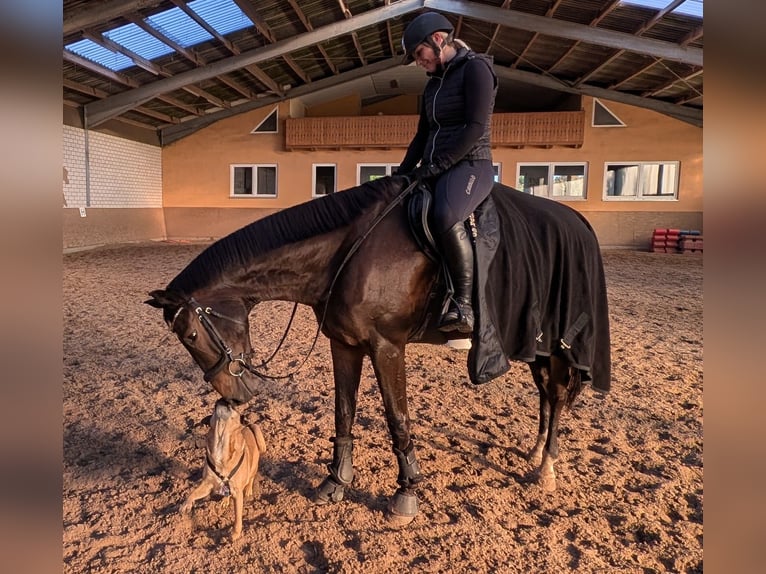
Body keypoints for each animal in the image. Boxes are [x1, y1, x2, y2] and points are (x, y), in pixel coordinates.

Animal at [146, 175, 611, 525]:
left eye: (190, 337)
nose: (233, 397)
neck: (346, 254)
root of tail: (577, 220)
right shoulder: (344, 344)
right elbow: (344, 413)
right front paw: (335, 481)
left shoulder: (387, 347)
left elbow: (397, 420)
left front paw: (406, 494)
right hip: (536, 344)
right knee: (546, 395)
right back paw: (535, 453)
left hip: (557, 345)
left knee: (555, 394)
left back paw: (547, 468)